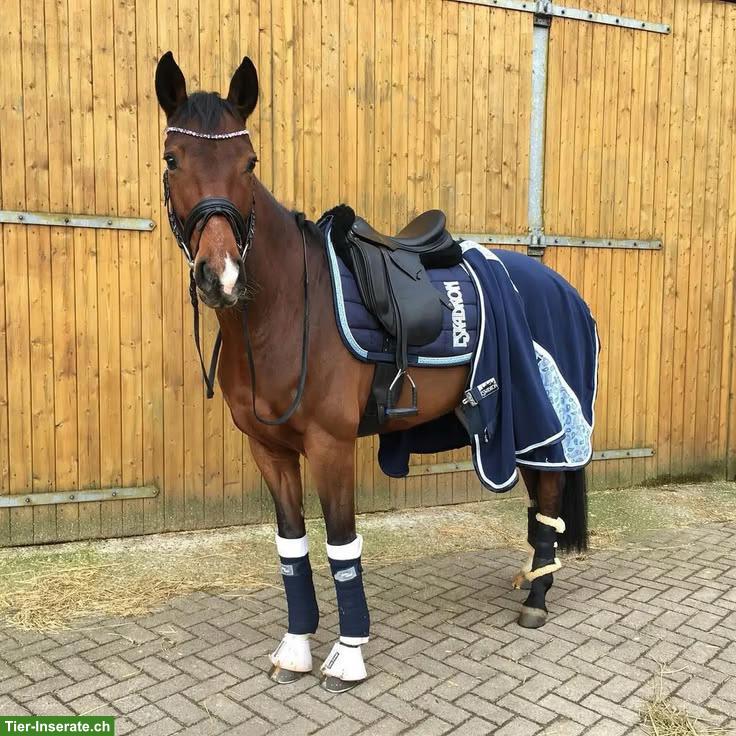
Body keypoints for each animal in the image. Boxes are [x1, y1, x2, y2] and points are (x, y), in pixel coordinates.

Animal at [155, 52, 594, 693]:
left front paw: (349, 654)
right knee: (543, 502)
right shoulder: (271, 450)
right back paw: (534, 579)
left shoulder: (330, 446)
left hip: (544, 425)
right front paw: (296, 647)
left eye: (249, 163)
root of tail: (563, 287)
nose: (222, 275)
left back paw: (536, 600)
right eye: (172, 159)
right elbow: (291, 545)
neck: (290, 308)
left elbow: (341, 543)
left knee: (551, 495)